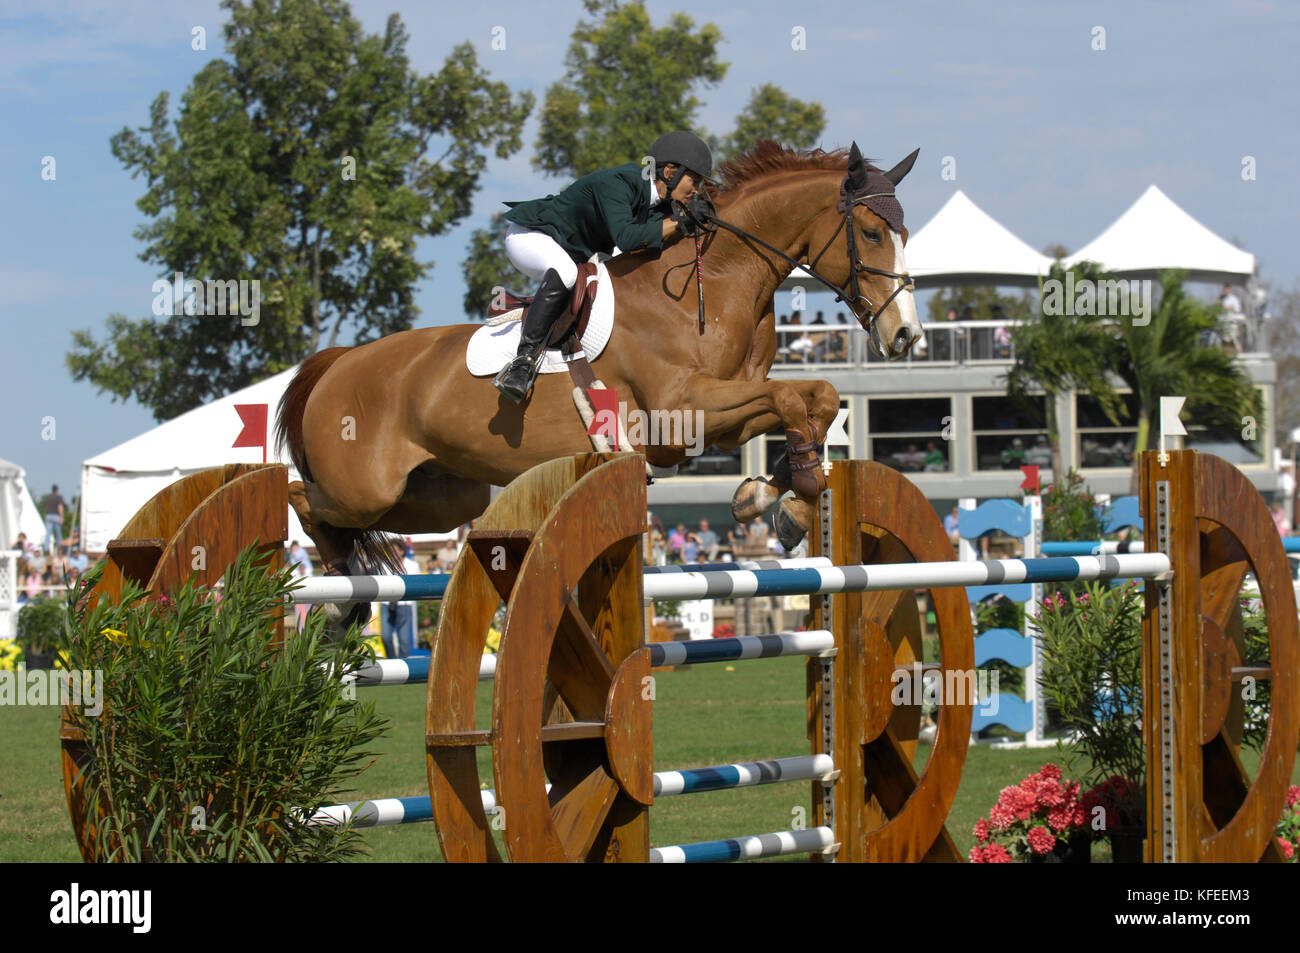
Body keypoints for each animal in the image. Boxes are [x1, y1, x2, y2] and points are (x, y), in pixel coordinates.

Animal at [274, 137, 925, 577]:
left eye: (903, 233)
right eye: (871, 234)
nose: (905, 337)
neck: (711, 279)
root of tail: (338, 361)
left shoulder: (720, 418)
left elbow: (818, 397)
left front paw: (774, 496)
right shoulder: (681, 413)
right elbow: (792, 397)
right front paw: (791, 499)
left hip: (443, 497)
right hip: (364, 486)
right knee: (302, 498)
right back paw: (336, 585)